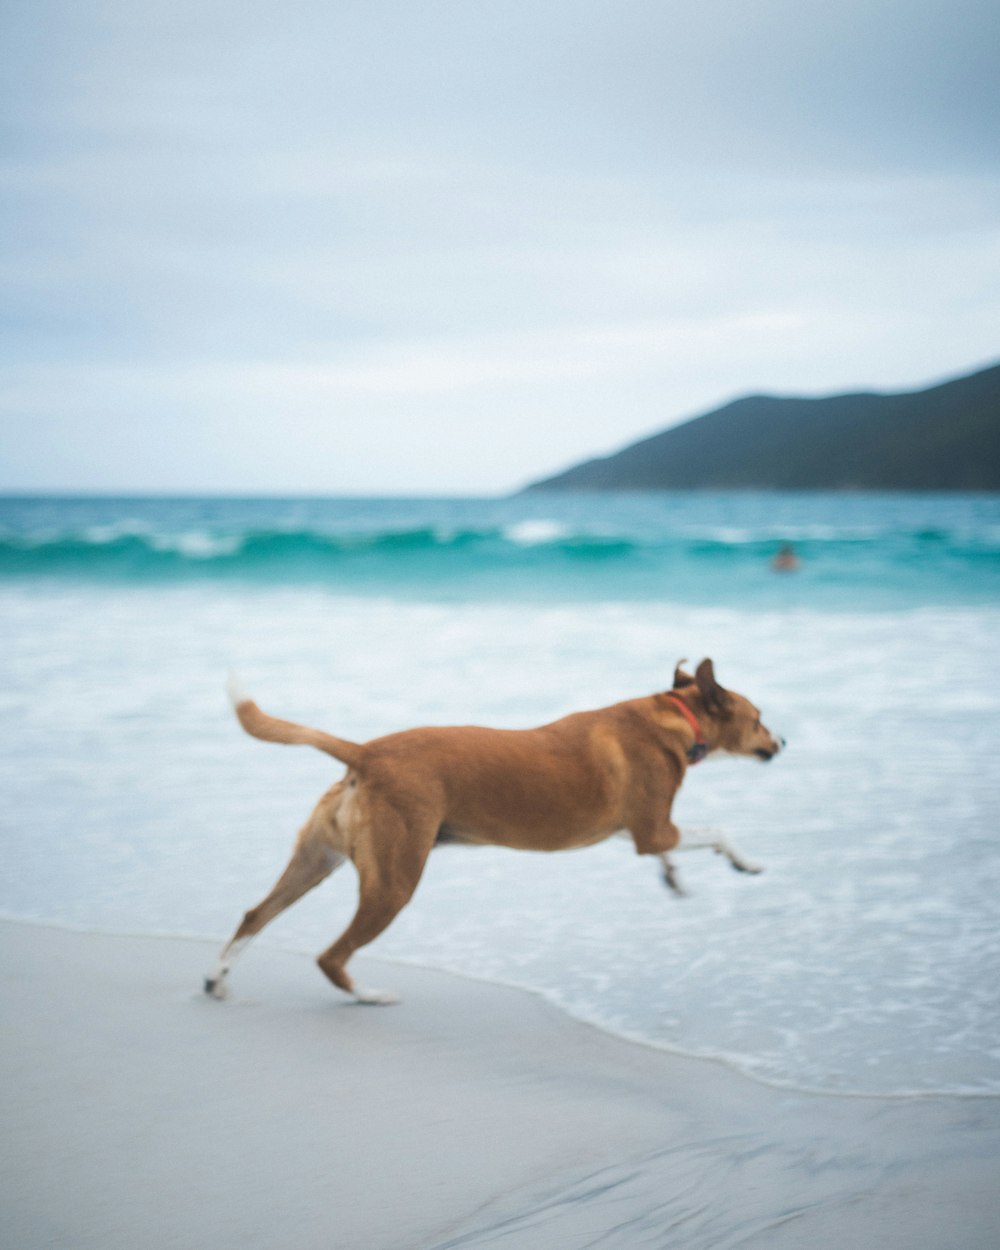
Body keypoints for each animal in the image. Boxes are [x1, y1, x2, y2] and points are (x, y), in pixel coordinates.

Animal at [205, 660, 780, 1000]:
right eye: (758, 719)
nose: (783, 744)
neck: (673, 715)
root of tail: (366, 752)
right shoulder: (653, 828)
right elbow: (716, 830)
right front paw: (746, 862)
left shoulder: (635, 830)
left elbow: (670, 851)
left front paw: (675, 877)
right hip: (394, 883)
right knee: (331, 954)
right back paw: (367, 993)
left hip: (316, 860)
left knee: (254, 916)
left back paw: (217, 978)